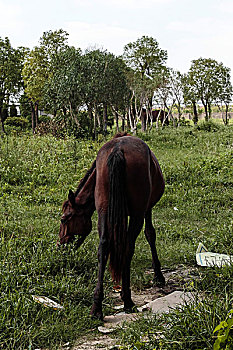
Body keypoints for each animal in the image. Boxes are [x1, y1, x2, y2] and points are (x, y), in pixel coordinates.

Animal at [57, 133, 165, 318]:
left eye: (64, 219)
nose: (60, 245)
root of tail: (118, 149)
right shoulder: (146, 209)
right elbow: (150, 234)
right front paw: (158, 275)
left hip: (104, 210)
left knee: (104, 246)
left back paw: (97, 307)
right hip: (136, 213)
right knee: (127, 246)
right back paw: (127, 300)